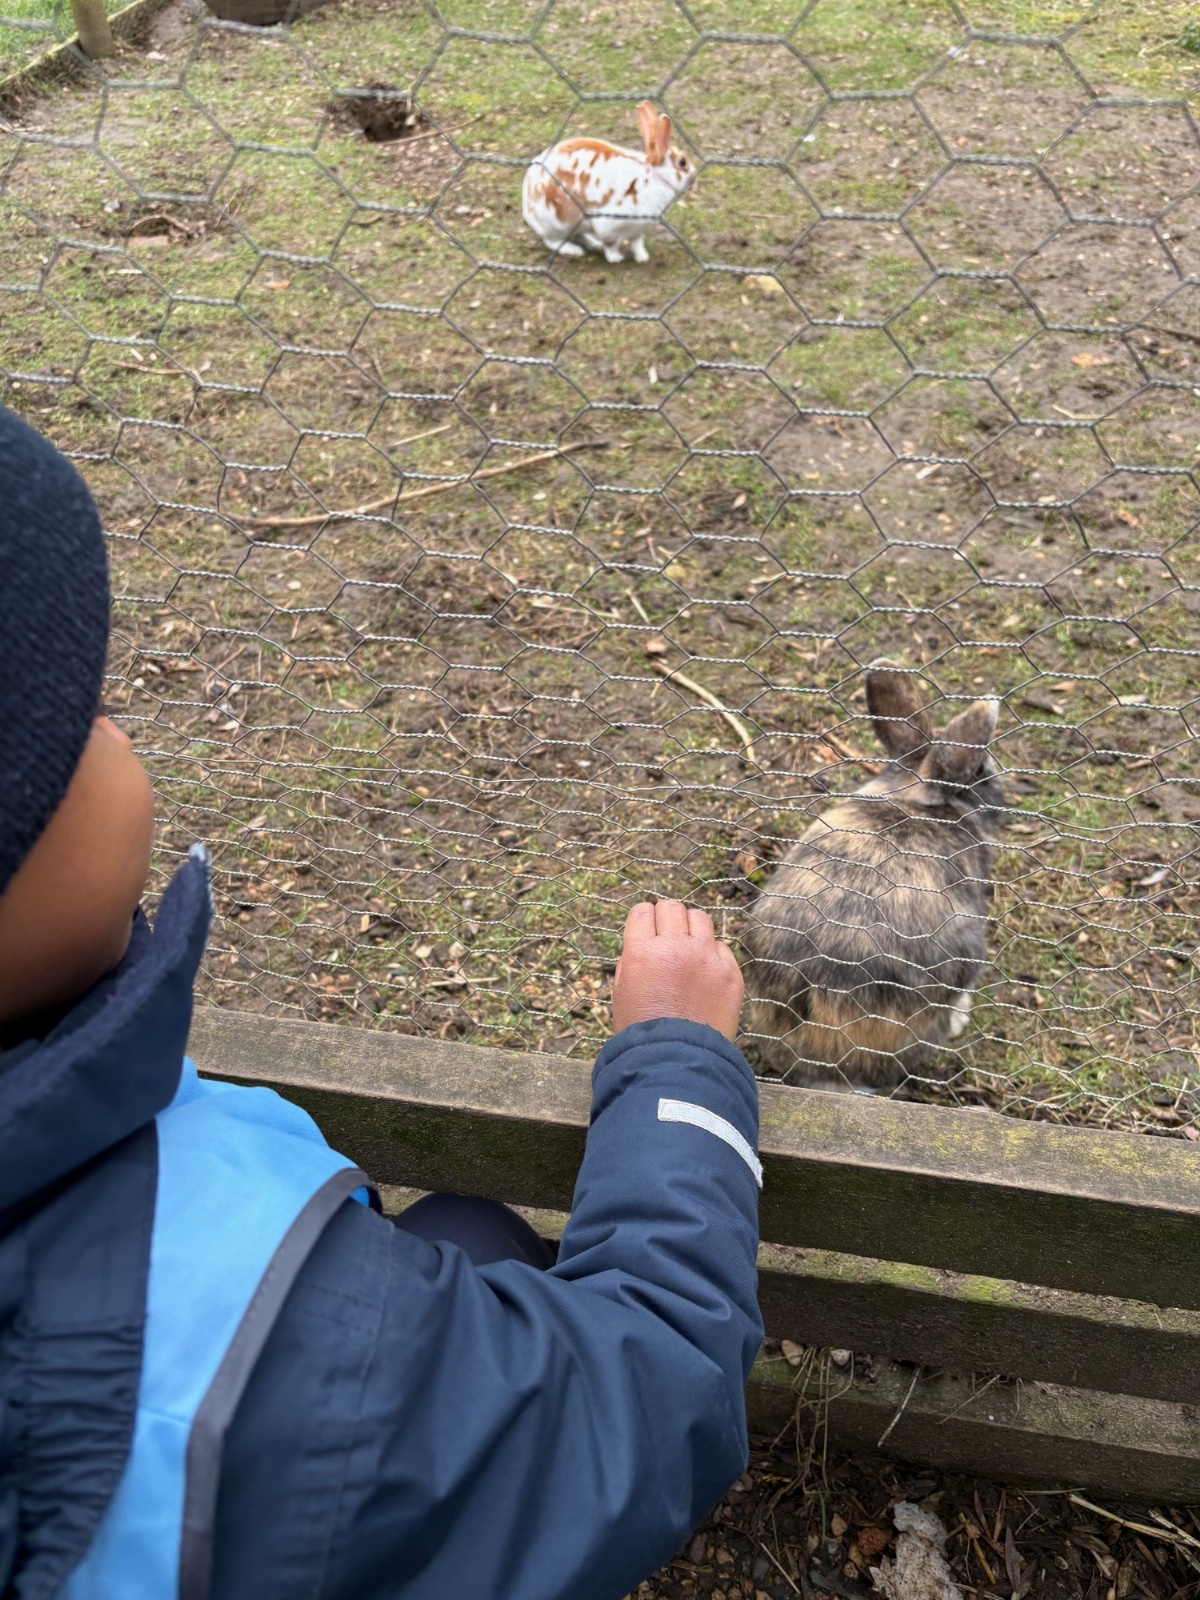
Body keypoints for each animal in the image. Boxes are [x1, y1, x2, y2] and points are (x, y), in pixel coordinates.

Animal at [522, 101, 694, 264]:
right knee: (552, 240)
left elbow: (637, 243)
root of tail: (527, 205)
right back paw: (574, 250)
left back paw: (593, 243)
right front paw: (616, 259)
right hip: (559, 221)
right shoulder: (608, 226)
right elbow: (610, 245)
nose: (693, 177)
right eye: (682, 162)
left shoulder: (638, 230)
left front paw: (642, 258)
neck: (655, 177)